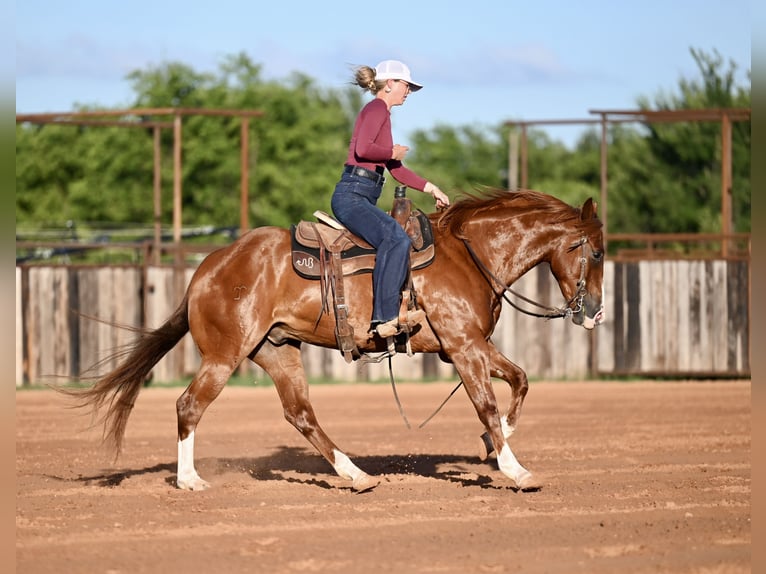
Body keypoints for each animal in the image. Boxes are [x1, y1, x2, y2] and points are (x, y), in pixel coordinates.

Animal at [65, 188, 604, 493]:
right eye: (597, 252)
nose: (596, 312)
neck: (468, 255)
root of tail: (206, 269)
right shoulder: (465, 348)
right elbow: (488, 405)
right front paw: (515, 469)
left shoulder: (470, 345)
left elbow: (520, 380)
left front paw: (495, 446)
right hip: (224, 355)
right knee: (189, 405)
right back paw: (189, 480)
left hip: (277, 350)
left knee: (300, 413)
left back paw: (356, 476)